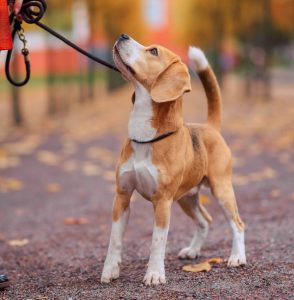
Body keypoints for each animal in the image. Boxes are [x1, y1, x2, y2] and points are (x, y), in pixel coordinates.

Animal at [101, 34, 246, 284]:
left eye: (153, 51)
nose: (123, 36)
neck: (145, 137)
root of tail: (210, 127)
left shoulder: (162, 202)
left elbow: (157, 241)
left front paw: (154, 274)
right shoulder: (122, 197)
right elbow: (115, 240)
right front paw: (110, 270)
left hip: (221, 190)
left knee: (237, 224)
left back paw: (237, 257)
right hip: (186, 198)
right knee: (205, 220)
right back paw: (193, 251)